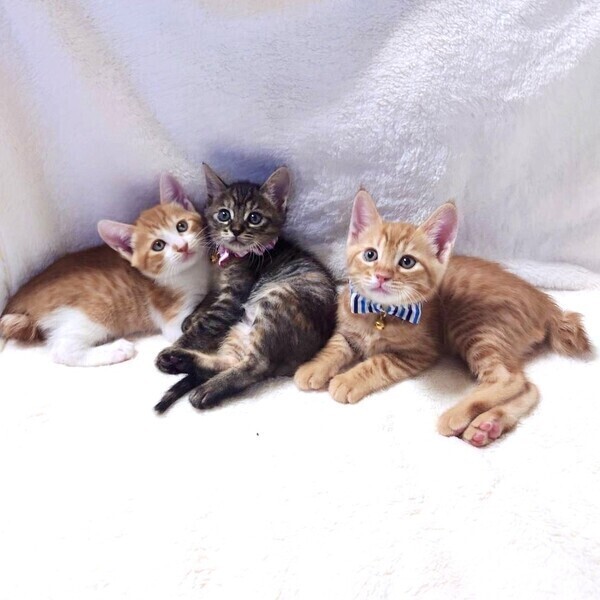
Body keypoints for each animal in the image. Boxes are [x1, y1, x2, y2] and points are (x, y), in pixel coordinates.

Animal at [0, 174, 211, 366]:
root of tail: (18, 299)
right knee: (63, 350)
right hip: (90, 312)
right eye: (158, 245)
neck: (191, 272)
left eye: (181, 226)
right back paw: (115, 350)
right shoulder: (172, 316)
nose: (182, 247)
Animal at [153, 164, 337, 413]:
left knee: (257, 366)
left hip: (276, 301)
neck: (229, 258)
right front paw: (191, 317)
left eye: (254, 218)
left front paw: (184, 338)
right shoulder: (218, 287)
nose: (236, 229)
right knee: (230, 361)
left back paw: (204, 387)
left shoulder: (233, 298)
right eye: (224, 214)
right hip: (239, 329)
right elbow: (207, 300)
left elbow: (205, 324)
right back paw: (179, 362)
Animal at [294, 190, 592, 446]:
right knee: (530, 389)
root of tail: (546, 303)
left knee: (510, 379)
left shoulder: (418, 352)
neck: (379, 313)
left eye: (406, 262)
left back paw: (458, 415)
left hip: (475, 327)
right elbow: (336, 344)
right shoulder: (347, 327)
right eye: (370, 255)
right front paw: (314, 367)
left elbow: (378, 362)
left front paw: (347, 380)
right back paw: (487, 426)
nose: (381, 276)